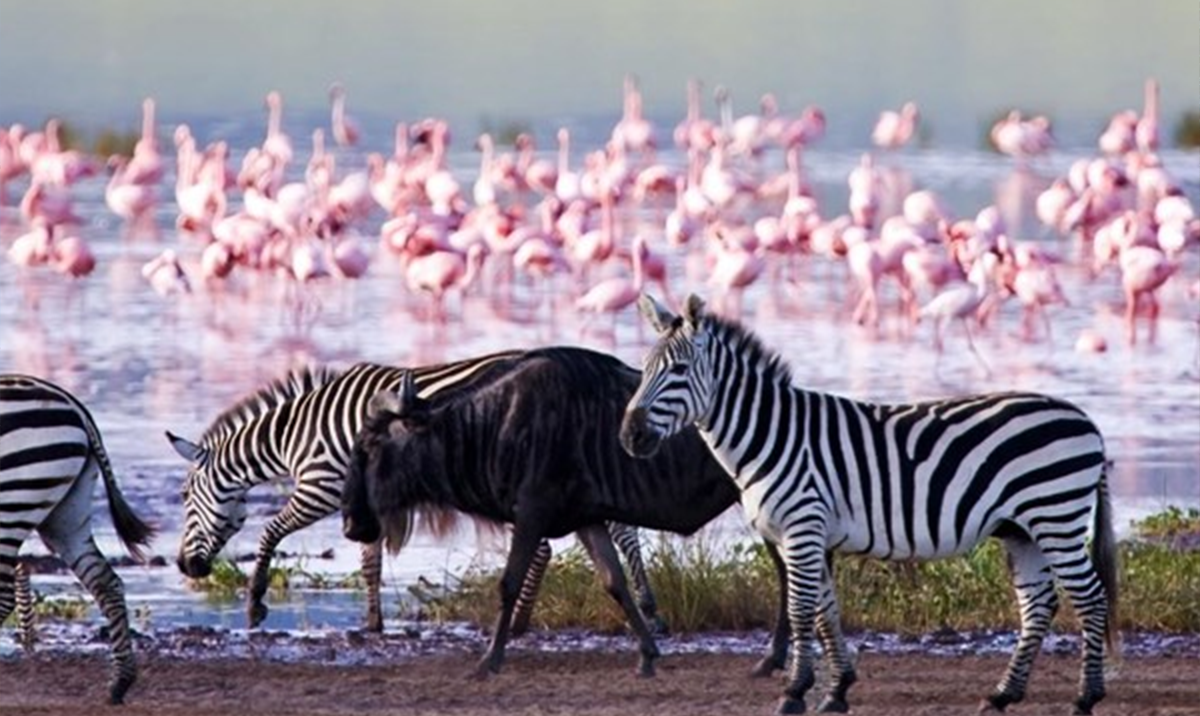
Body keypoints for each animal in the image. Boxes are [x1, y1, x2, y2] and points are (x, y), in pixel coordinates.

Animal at [0, 374, 154, 705]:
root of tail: (75, 407)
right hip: (67, 516)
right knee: (106, 582)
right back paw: (119, 684)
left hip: (13, 504)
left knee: (3, 595)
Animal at [166, 350, 667, 633]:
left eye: (186, 498)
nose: (185, 567)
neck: (295, 434)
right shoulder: (362, 501)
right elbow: (370, 564)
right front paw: (372, 624)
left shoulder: (321, 487)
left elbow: (270, 533)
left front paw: (254, 605)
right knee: (617, 531)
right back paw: (647, 608)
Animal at [624, 295, 1118, 714]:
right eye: (644, 369)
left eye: (680, 369)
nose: (630, 435)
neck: (772, 435)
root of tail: (1086, 419)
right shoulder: (805, 535)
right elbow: (826, 612)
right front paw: (837, 690)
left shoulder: (803, 528)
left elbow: (801, 611)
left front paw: (794, 692)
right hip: (1023, 530)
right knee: (1038, 605)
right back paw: (1002, 695)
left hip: (1055, 517)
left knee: (1090, 599)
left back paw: (1085, 698)